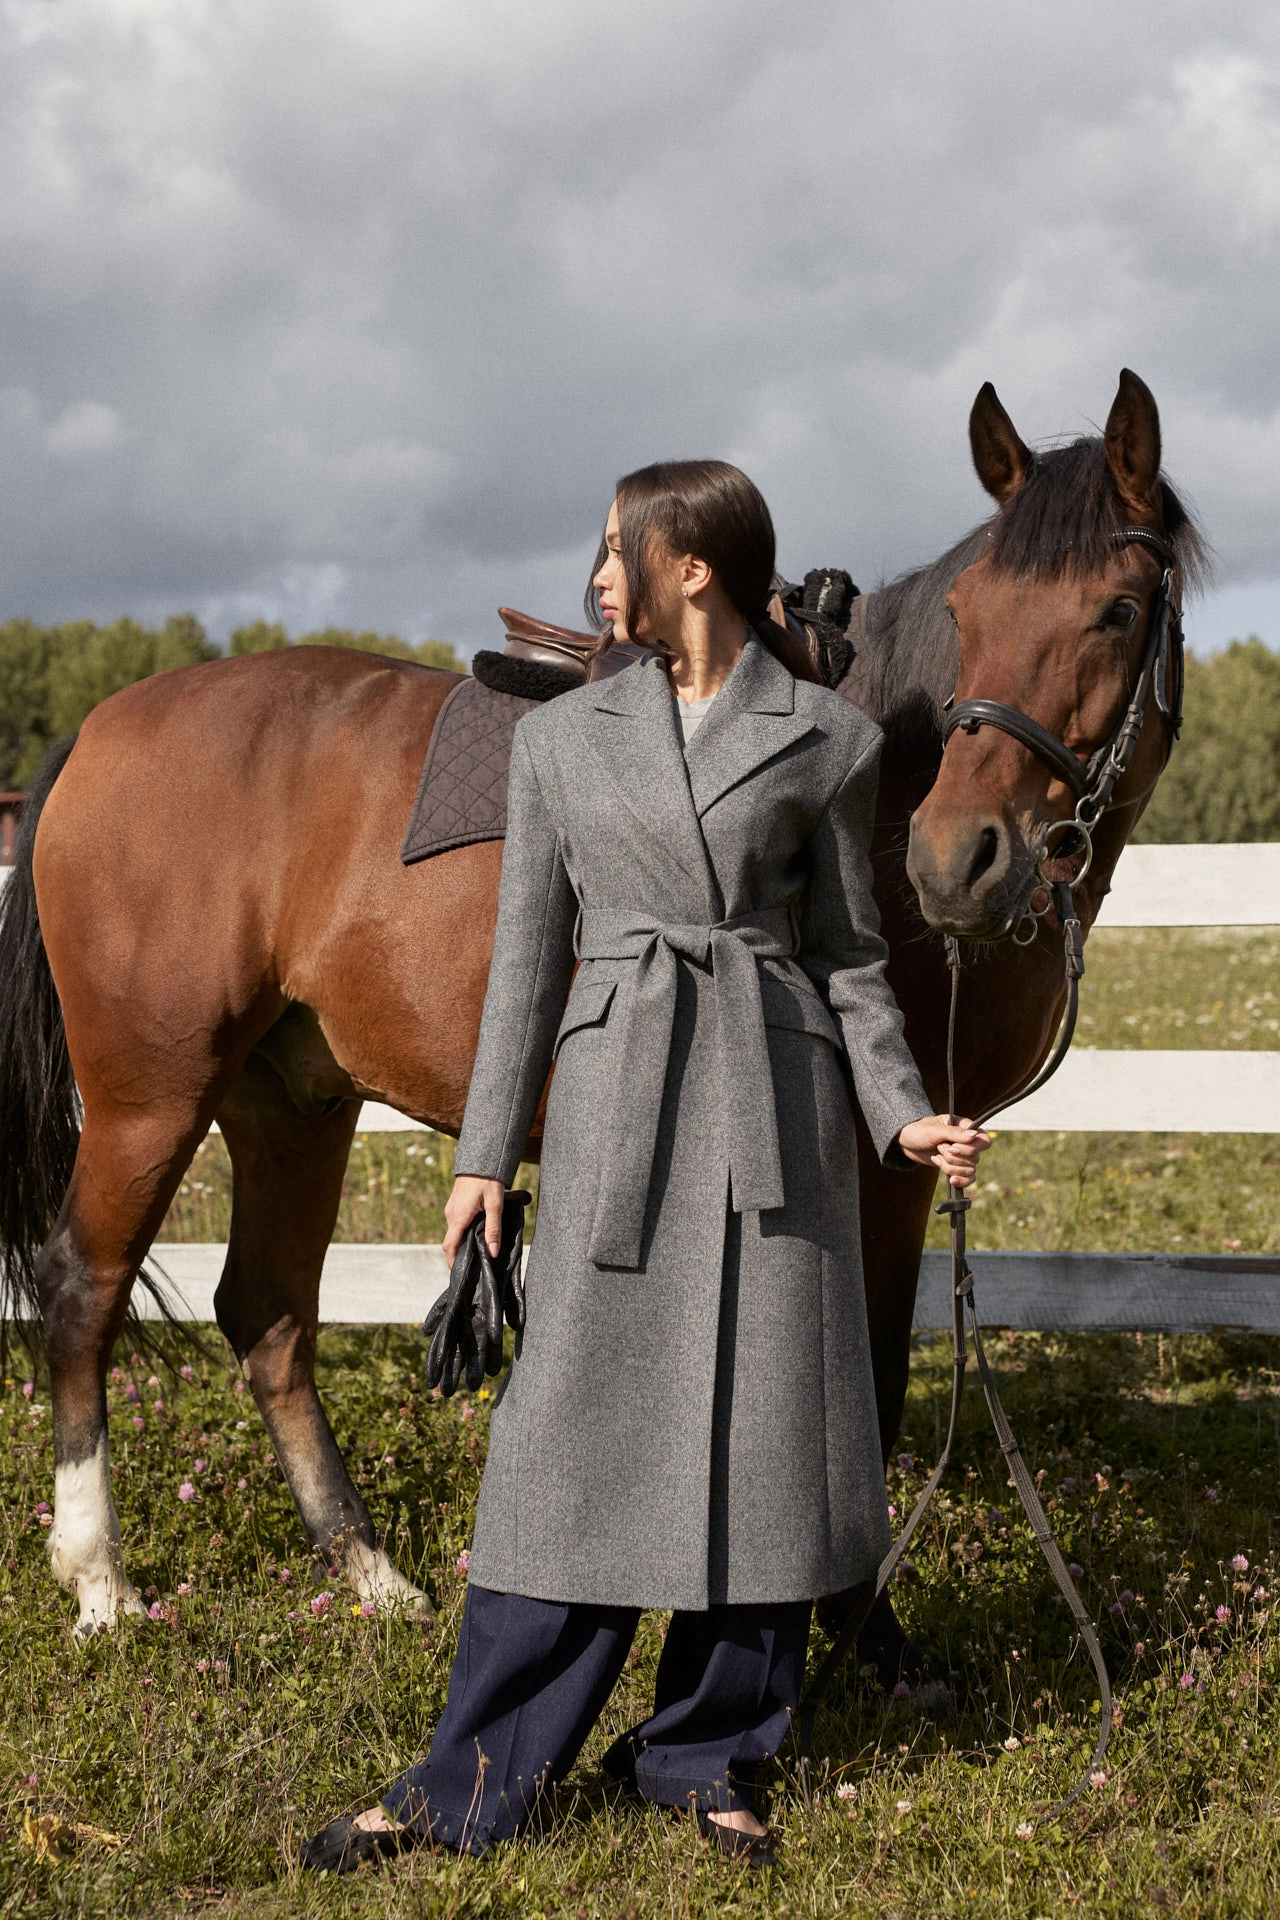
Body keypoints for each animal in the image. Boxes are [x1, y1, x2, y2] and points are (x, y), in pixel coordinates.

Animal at [0, 366, 1205, 1643]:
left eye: (1115, 612)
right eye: (970, 611)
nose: (955, 861)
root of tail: (101, 731)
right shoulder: (880, 1170)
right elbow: (870, 1386)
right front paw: (860, 1636)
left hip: (292, 1104)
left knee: (270, 1315)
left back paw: (367, 1570)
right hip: (151, 1096)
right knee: (82, 1292)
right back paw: (101, 1581)